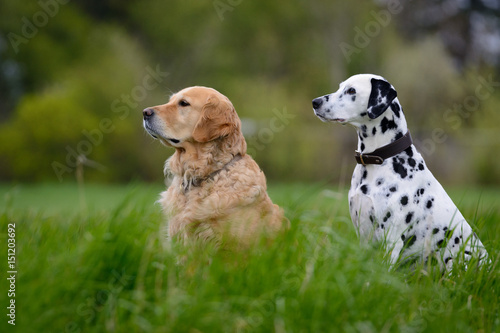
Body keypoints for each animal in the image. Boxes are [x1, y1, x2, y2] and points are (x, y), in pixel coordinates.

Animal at [312, 73, 488, 270]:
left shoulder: (391, 241)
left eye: (351, 90)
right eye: (340, 87)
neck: (380, 159)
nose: (315, 102)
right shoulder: (363, 236)